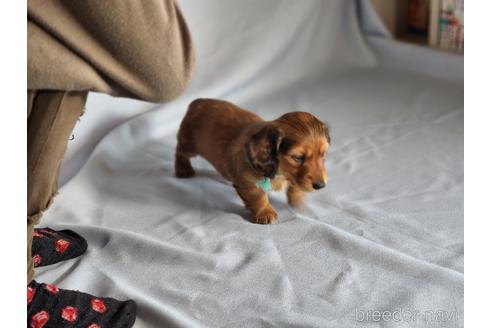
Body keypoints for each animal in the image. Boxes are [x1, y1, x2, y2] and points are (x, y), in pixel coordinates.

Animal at [174, 98, 330, 224]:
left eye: (323, 154)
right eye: (298, 157)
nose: (321, 186)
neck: (279, 171)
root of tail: (197, 102)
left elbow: (295, 186)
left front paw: (297, 200)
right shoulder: (247, 181)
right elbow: (258, 197)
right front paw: (265, 213)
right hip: (189, 145)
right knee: (180, 152)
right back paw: (183, 169)